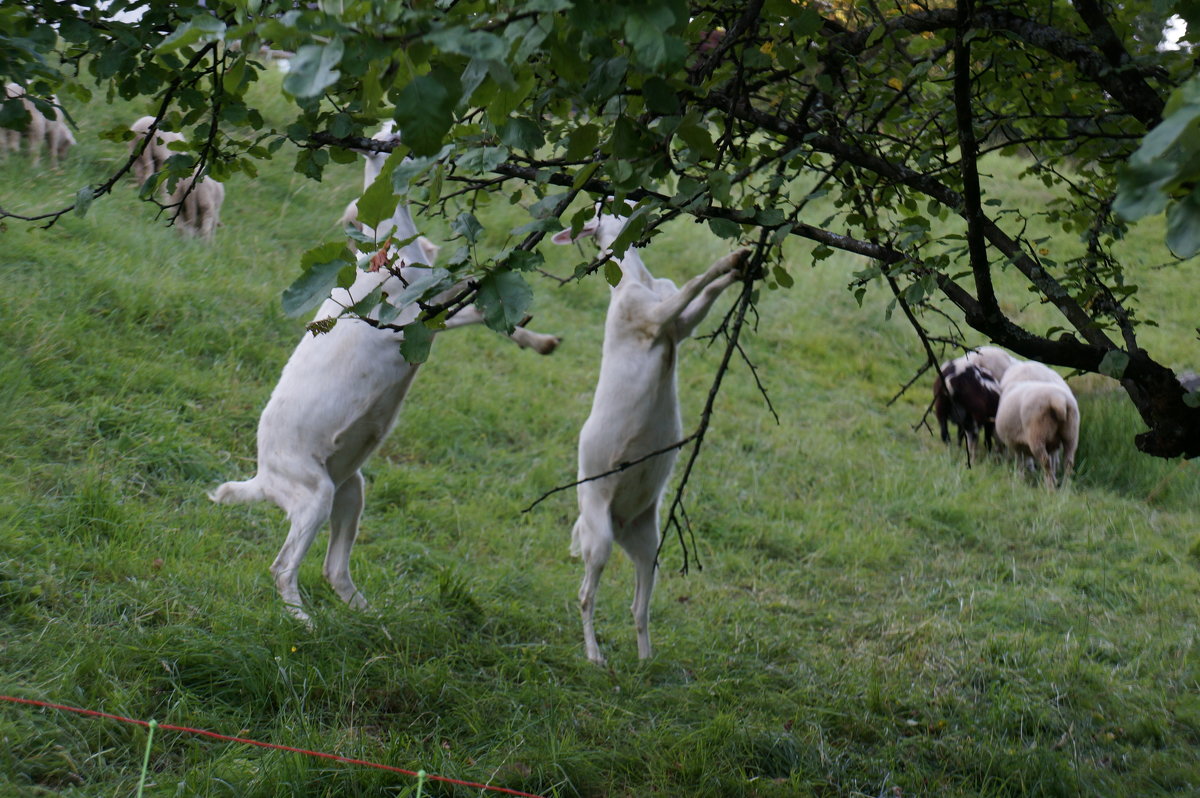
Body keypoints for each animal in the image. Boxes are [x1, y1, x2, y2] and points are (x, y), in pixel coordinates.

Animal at [210, 126, 556, 624]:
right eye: (389, 138)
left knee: (334, 569)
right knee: (282, 567)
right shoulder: (417, 316)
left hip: (349, 490)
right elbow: (473, 306)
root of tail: (263, 480)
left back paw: (372, 618)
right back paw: (304, 623)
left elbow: (485, 309)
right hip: (313, 494)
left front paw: (539, 338)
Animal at [554, 202, 748, 662]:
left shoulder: (679, 326)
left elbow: (702, 298)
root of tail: (620, 520)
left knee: (638, 605)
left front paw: (742, 264)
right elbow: (695, 284)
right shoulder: (653, 320)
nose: (638, 203)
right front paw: (730, 261)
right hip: (599, 534)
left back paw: (646, 660)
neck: (636, 279)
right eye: (603, 205)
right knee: (586, 593)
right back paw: (595, 656)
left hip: (647, 543)